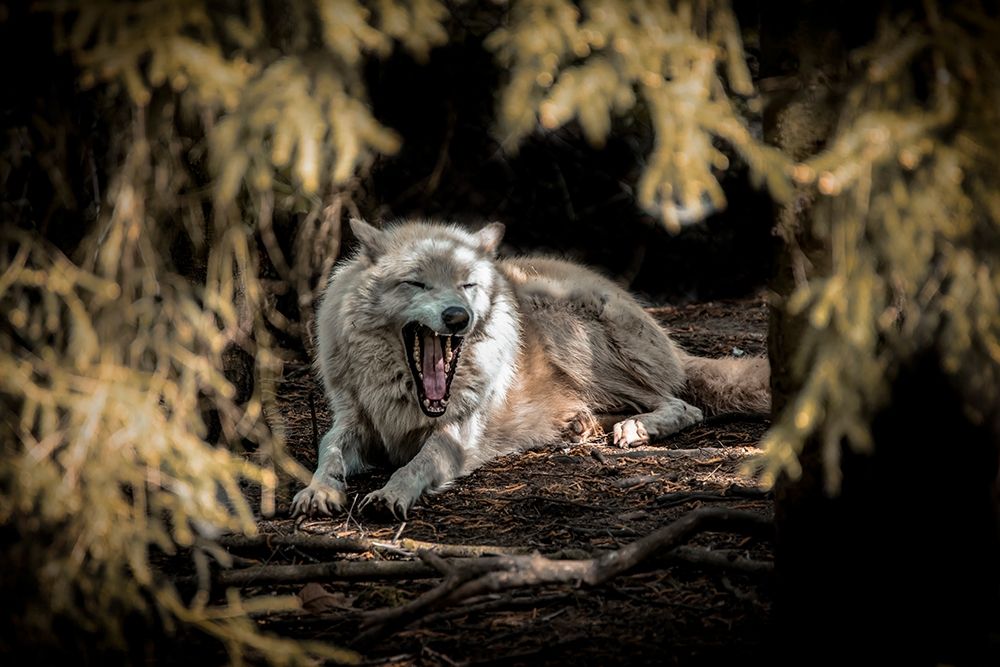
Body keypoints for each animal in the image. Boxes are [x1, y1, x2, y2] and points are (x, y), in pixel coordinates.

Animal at [291, 219, 770, 518]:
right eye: (417, 283)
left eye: (468, 285)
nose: (458, 317)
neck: (408, 393)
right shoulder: (352, 419)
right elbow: (328, 451)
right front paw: (318, 490)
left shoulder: (456, 433)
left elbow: (417, 462)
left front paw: (391, 493)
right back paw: (582, 424)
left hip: (562, 323)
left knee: (684, 405)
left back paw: (635, 428)